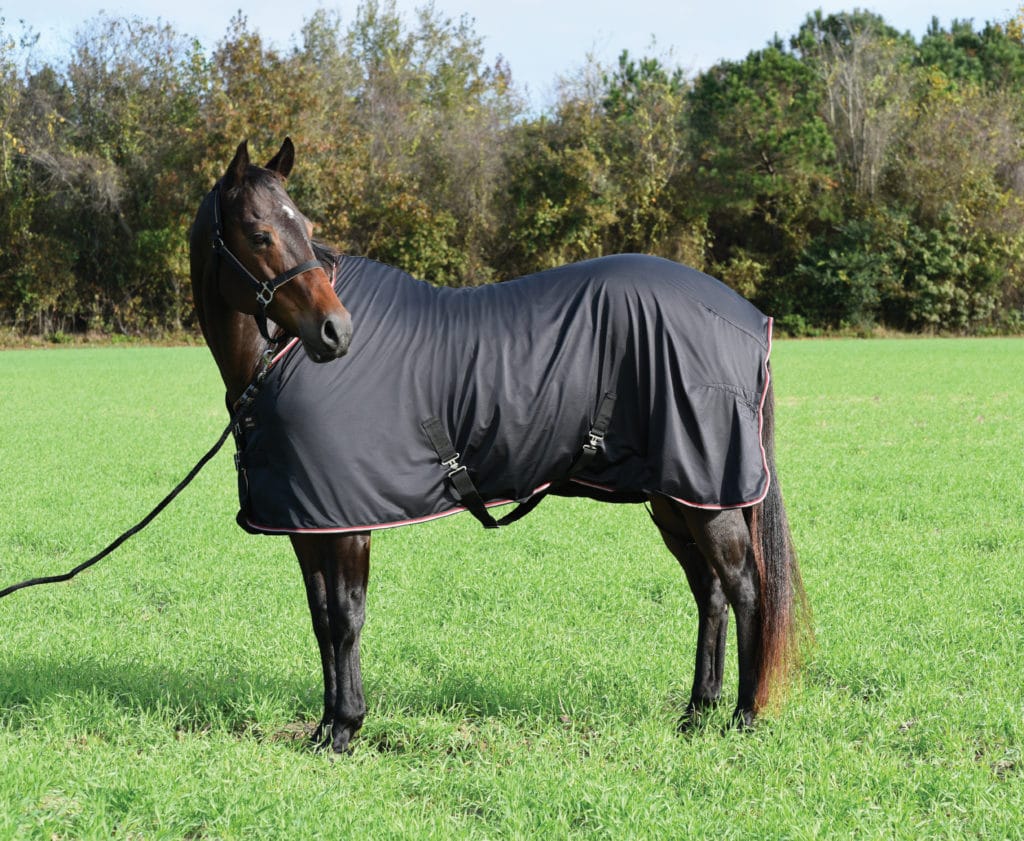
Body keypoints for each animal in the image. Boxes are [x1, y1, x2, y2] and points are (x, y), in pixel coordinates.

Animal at [189, 138, 807, 753]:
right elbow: (320, 620)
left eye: (306, 225)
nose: (336, 331)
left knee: (745, 589)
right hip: (677, 499)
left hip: (710, 498)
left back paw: (744, 716)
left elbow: (345, 619)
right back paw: (697, 712)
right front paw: (324, 729)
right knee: (710, 592)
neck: (278, 358)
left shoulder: (346, 523)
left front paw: (346, 727)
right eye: (260, 233)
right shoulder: (307, 522)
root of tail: (751, 319)